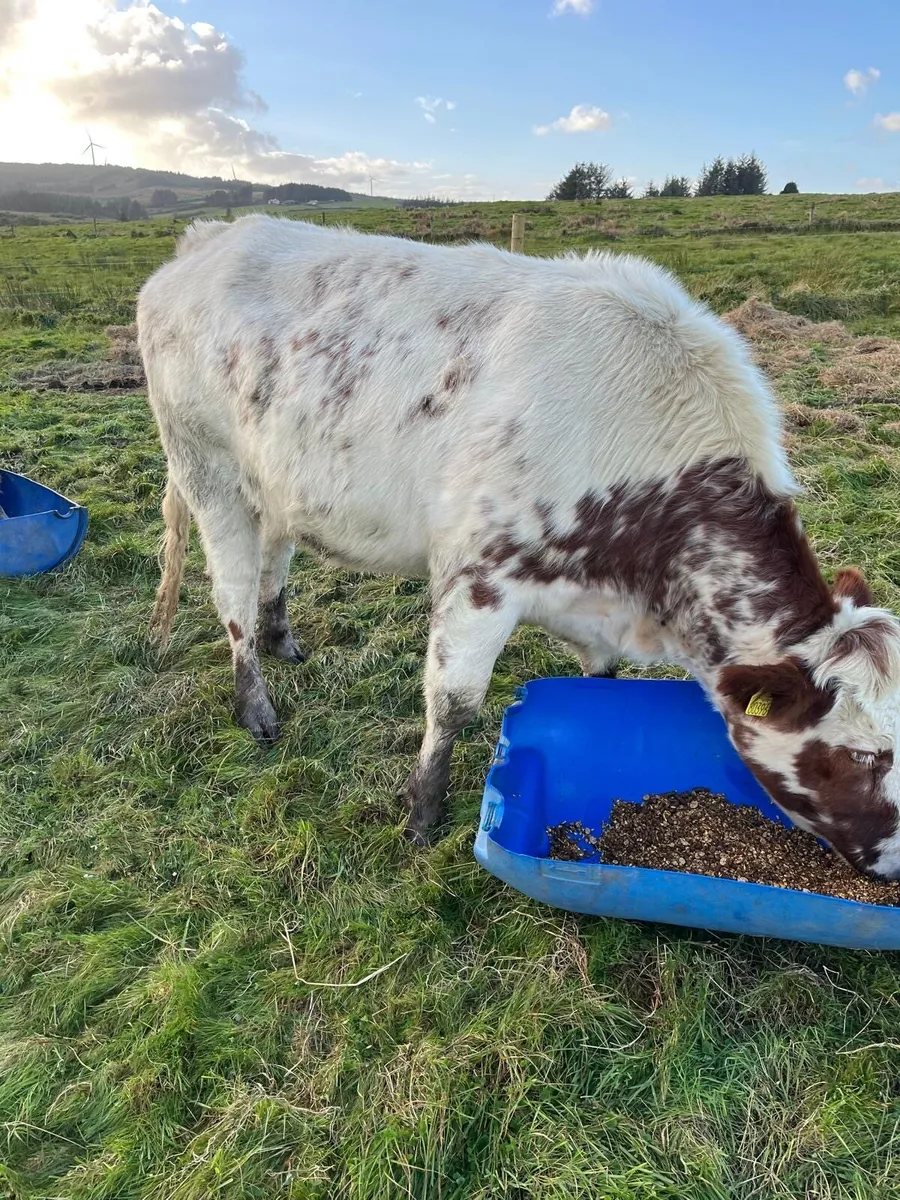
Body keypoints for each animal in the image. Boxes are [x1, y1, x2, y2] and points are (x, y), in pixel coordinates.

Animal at [138, 213, 900, 875]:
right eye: (866, 756)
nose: (893, 867)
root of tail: (210, 240)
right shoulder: (478, 577)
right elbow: (453, 703)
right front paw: (422, 815)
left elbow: (598, 685)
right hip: (208, 473)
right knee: (232, 588)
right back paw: (255, 702)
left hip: (276, 483)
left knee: (275, 558)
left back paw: (281, 638)